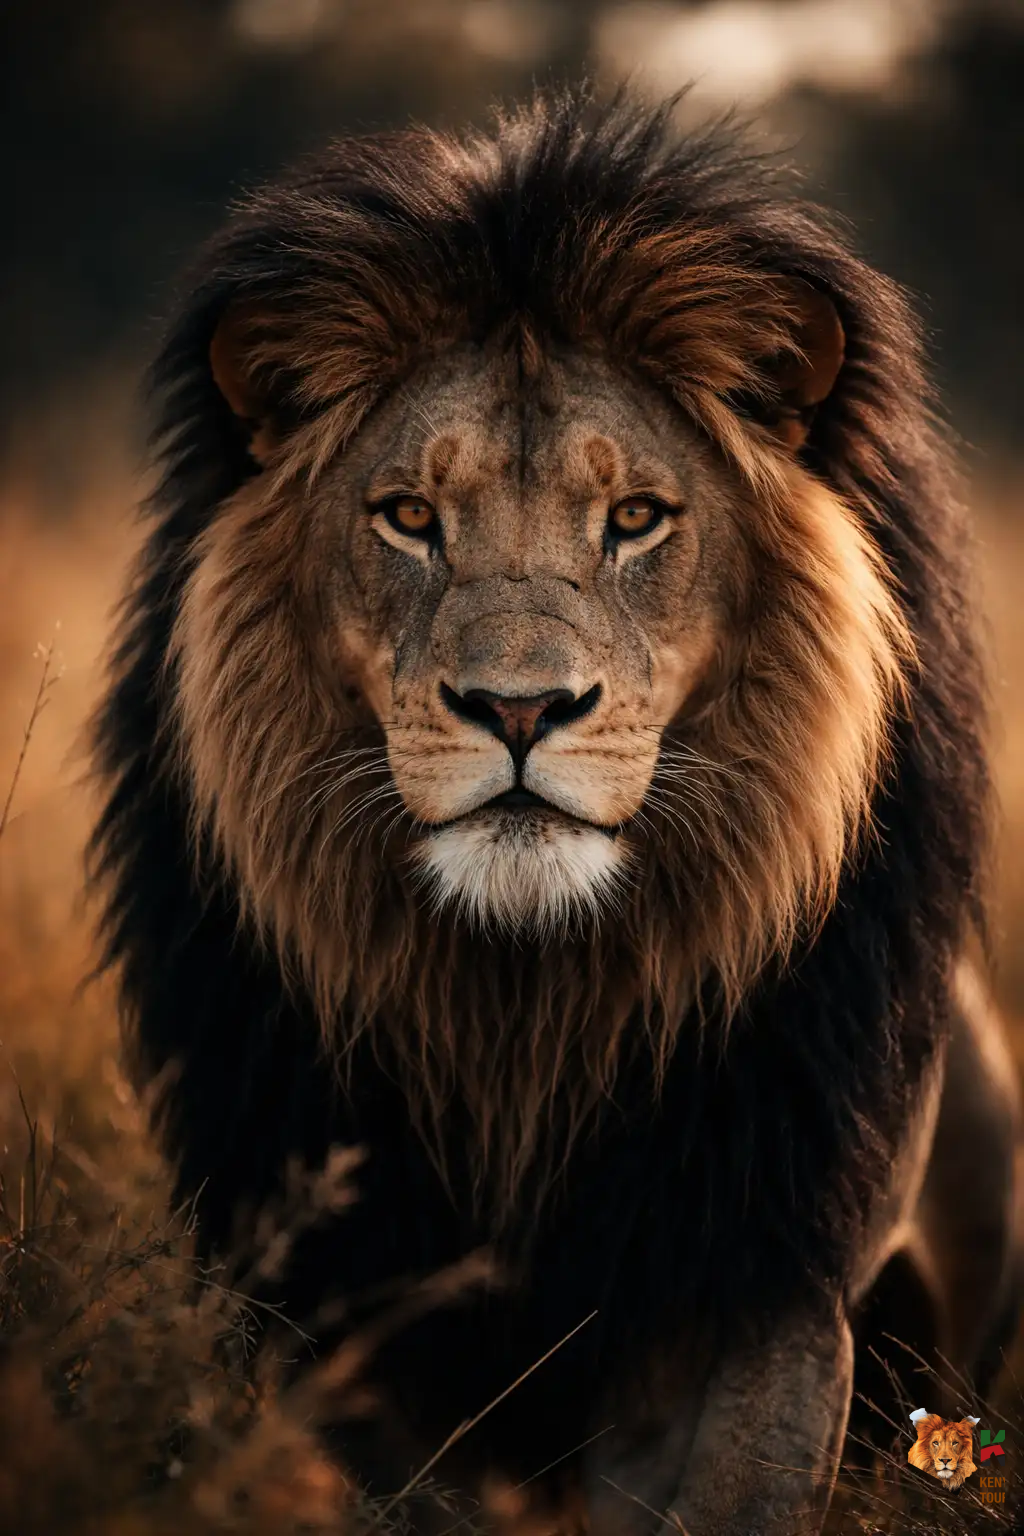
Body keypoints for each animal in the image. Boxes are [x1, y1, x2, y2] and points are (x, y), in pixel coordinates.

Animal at [91, 90, 1023, 1535]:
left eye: (635, 517)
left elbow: (727, 1497)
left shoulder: (763, 1274)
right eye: (409, 516)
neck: (525, 1016)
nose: (519, 709)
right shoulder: (346, 1311)